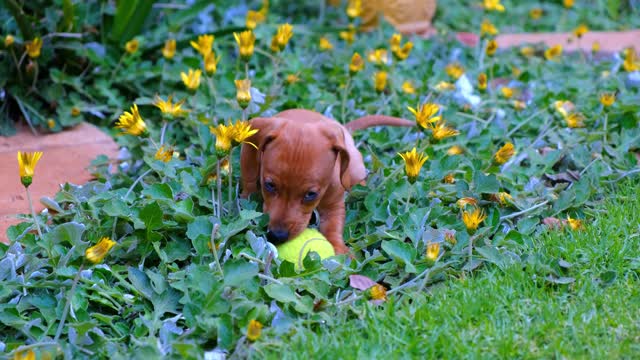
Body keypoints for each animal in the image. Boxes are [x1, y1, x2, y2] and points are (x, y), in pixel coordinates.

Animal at [241, 109, 416, 253]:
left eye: (311, 194)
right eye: (269, 185)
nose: (277, 236)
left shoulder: (334, 205)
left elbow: (333, 226)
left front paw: (339, 250)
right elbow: (249, 184)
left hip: (355, 169)